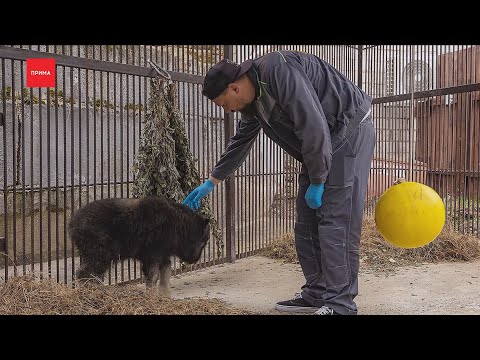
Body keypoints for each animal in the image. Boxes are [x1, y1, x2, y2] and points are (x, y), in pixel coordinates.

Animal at [69, 195, 210, 296]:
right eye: (203, 241)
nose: (195, 259)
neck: (177, 224)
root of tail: (73, 224)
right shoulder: (152, 256)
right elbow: (153, 276)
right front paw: (151, 294)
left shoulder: (162, 255)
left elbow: (165, 272)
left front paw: (164, 293)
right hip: (99, 255)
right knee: (83, 273)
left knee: (93, 275)